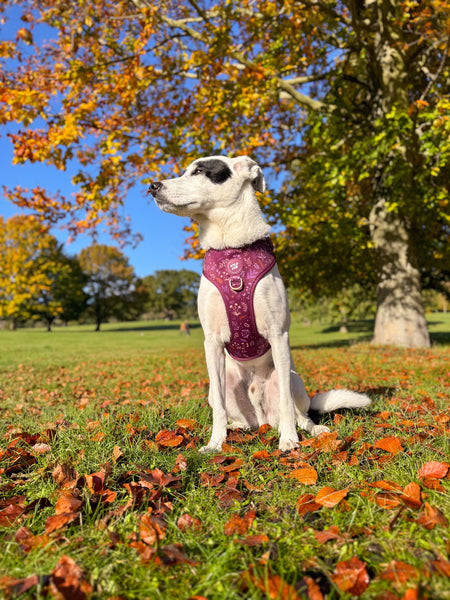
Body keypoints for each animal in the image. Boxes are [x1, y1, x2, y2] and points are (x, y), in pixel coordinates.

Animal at [149, 155, 370, 450]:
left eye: (199, 171)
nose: (152, 186)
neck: (232, 250)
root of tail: (262, 419)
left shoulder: (278, 334)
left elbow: (287, 404)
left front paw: (289, 441)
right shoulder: (212, 341)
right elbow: (219, 409)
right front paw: (215, 443)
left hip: (292, 378)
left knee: (302, 415)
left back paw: (313, 430)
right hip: (220, 385)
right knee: (230, 410)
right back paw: (235, 429)